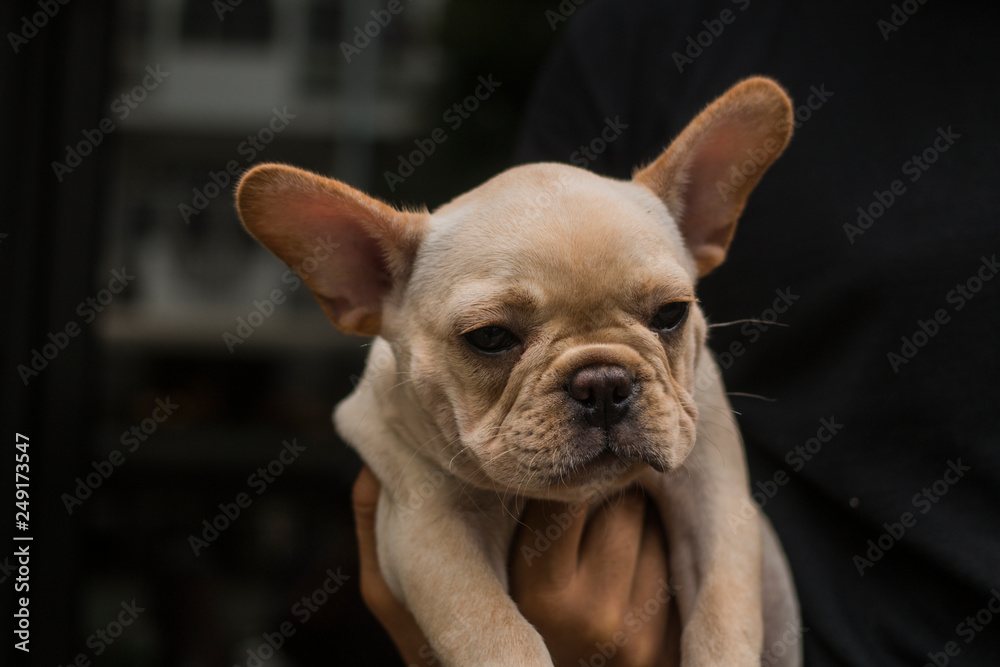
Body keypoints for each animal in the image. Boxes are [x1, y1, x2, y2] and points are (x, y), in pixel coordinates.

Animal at [238, 75, 800, 664]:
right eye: (489, 338)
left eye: (671, 313)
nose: (604, 383)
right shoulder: (428, 528)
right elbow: (495, 629)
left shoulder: (717, 502)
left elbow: (721, 617)